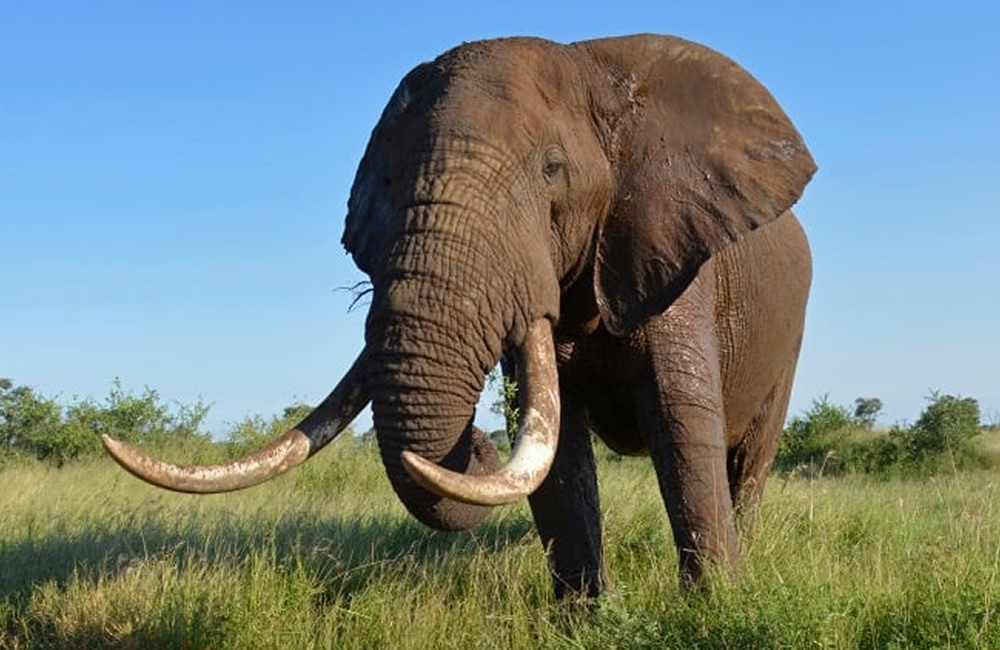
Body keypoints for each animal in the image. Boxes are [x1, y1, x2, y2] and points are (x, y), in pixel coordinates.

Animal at [102, 34, 815, 598]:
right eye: (388, 183)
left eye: (552, 170)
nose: (474, 443)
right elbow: (559, 451)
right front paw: (585, 620)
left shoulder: (666, 250)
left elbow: (680, 427)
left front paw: (713, 609)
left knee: (748, 464)